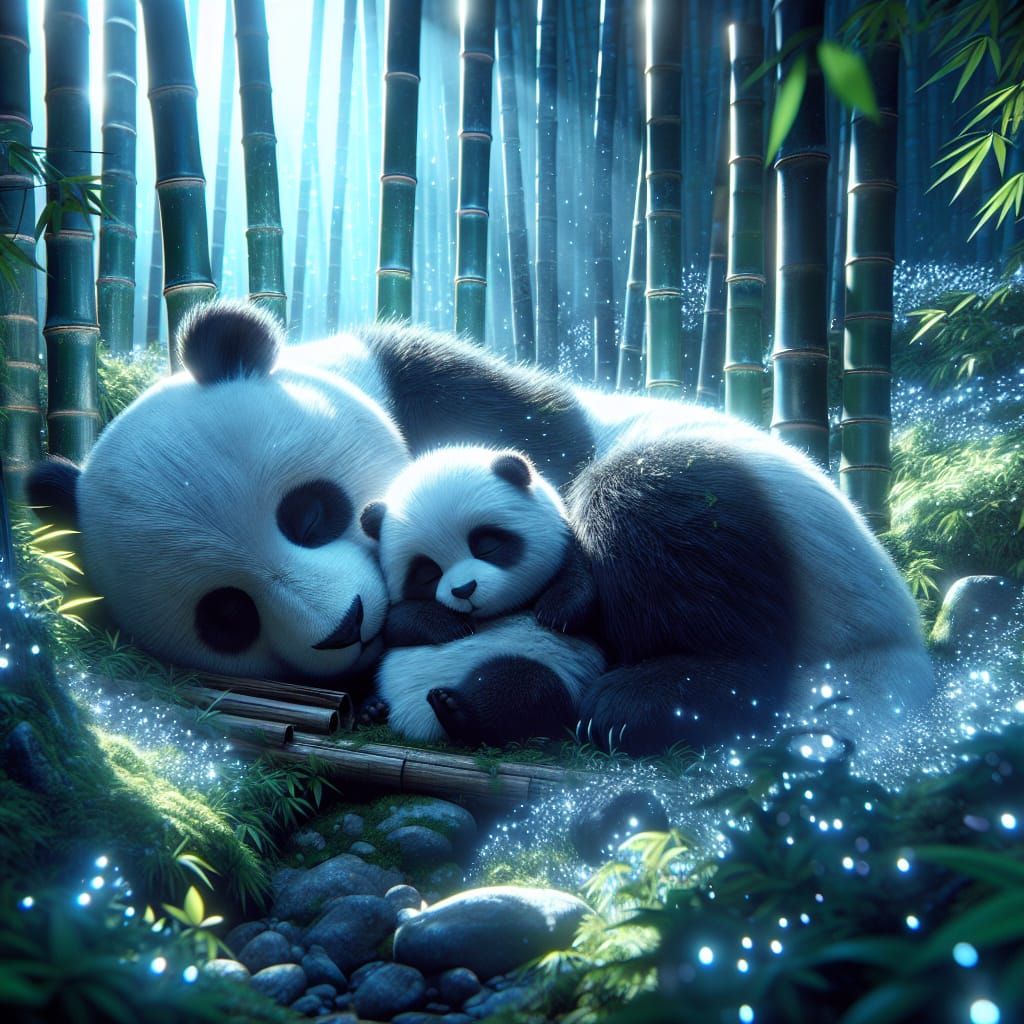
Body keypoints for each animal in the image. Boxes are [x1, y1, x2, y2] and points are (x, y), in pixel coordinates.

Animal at [357, 445, 606, 747]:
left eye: (486, 546)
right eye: (428, 573)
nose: (464, 590)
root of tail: (414, 725)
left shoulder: (570, 549)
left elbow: (584, 596)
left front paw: (556, 613)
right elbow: (392, 622)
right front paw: (451, 626)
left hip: (557, 668)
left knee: (521, 689)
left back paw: (455, 710)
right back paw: (373, 708)